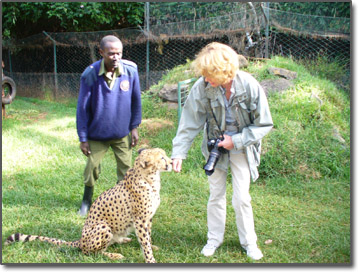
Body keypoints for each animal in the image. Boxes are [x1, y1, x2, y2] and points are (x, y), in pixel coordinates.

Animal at [4, 149, 173, 264]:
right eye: (162, 158)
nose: (171, 162)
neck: (150, 178)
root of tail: (80, 240)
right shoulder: (140, 220)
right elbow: (144, 241)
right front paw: (150, 259)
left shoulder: (147, 219)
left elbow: (147, 238)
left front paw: (152, 247)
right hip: (103, 227)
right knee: (91, 253)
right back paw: (114, 255)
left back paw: (123, 239)